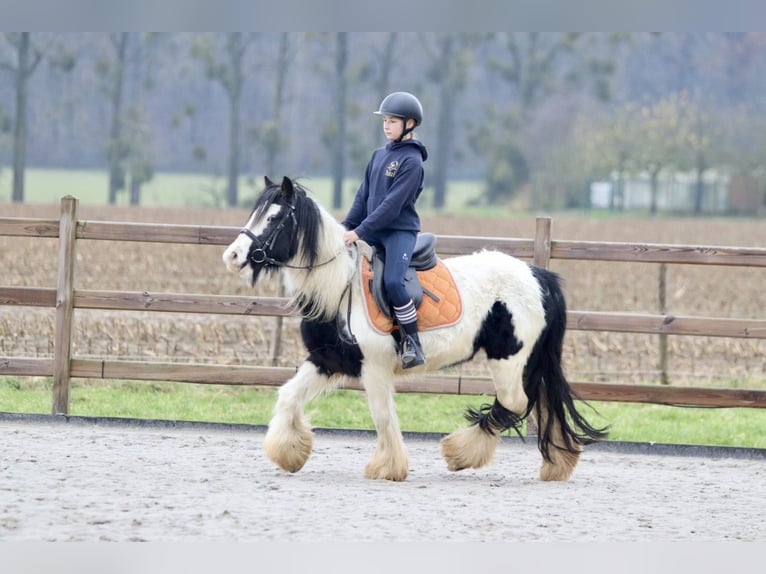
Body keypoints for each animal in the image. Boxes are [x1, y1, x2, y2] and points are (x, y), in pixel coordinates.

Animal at [224, 178, 612, 484]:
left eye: (273, 217)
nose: (232, 255)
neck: (339, 287)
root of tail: (537, 275)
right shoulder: (327, 360)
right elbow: (289, 396)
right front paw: (289, 453)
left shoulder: (374, 368)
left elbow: (382, 416)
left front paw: (387, 468)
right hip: (529, 362)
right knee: (543, 400)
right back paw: (558, 464)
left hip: (508, 360)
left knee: (514, 402)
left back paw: (460, 453)